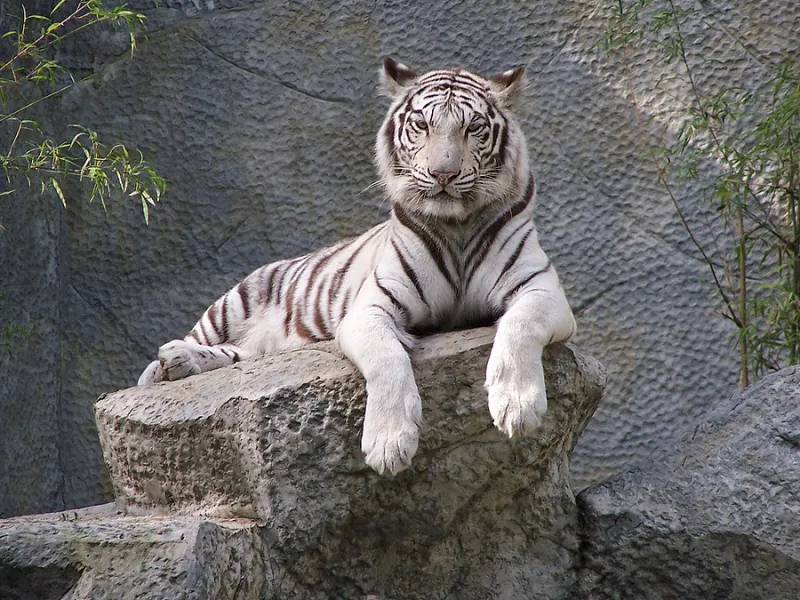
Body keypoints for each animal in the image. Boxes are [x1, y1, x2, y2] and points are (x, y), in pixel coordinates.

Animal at [138, 58, 577, 476]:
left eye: (473, 128)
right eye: (422, 125)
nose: (443, 173)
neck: (456, 226)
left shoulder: (540, 288)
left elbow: (519, 326)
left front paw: (518, 406)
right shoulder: (370, 307)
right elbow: (387, 359)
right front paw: (389, 443)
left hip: (259, 347)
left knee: (241, 356)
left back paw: (182, 363)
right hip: (235, 301)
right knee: (191, 345)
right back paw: (164, 366)